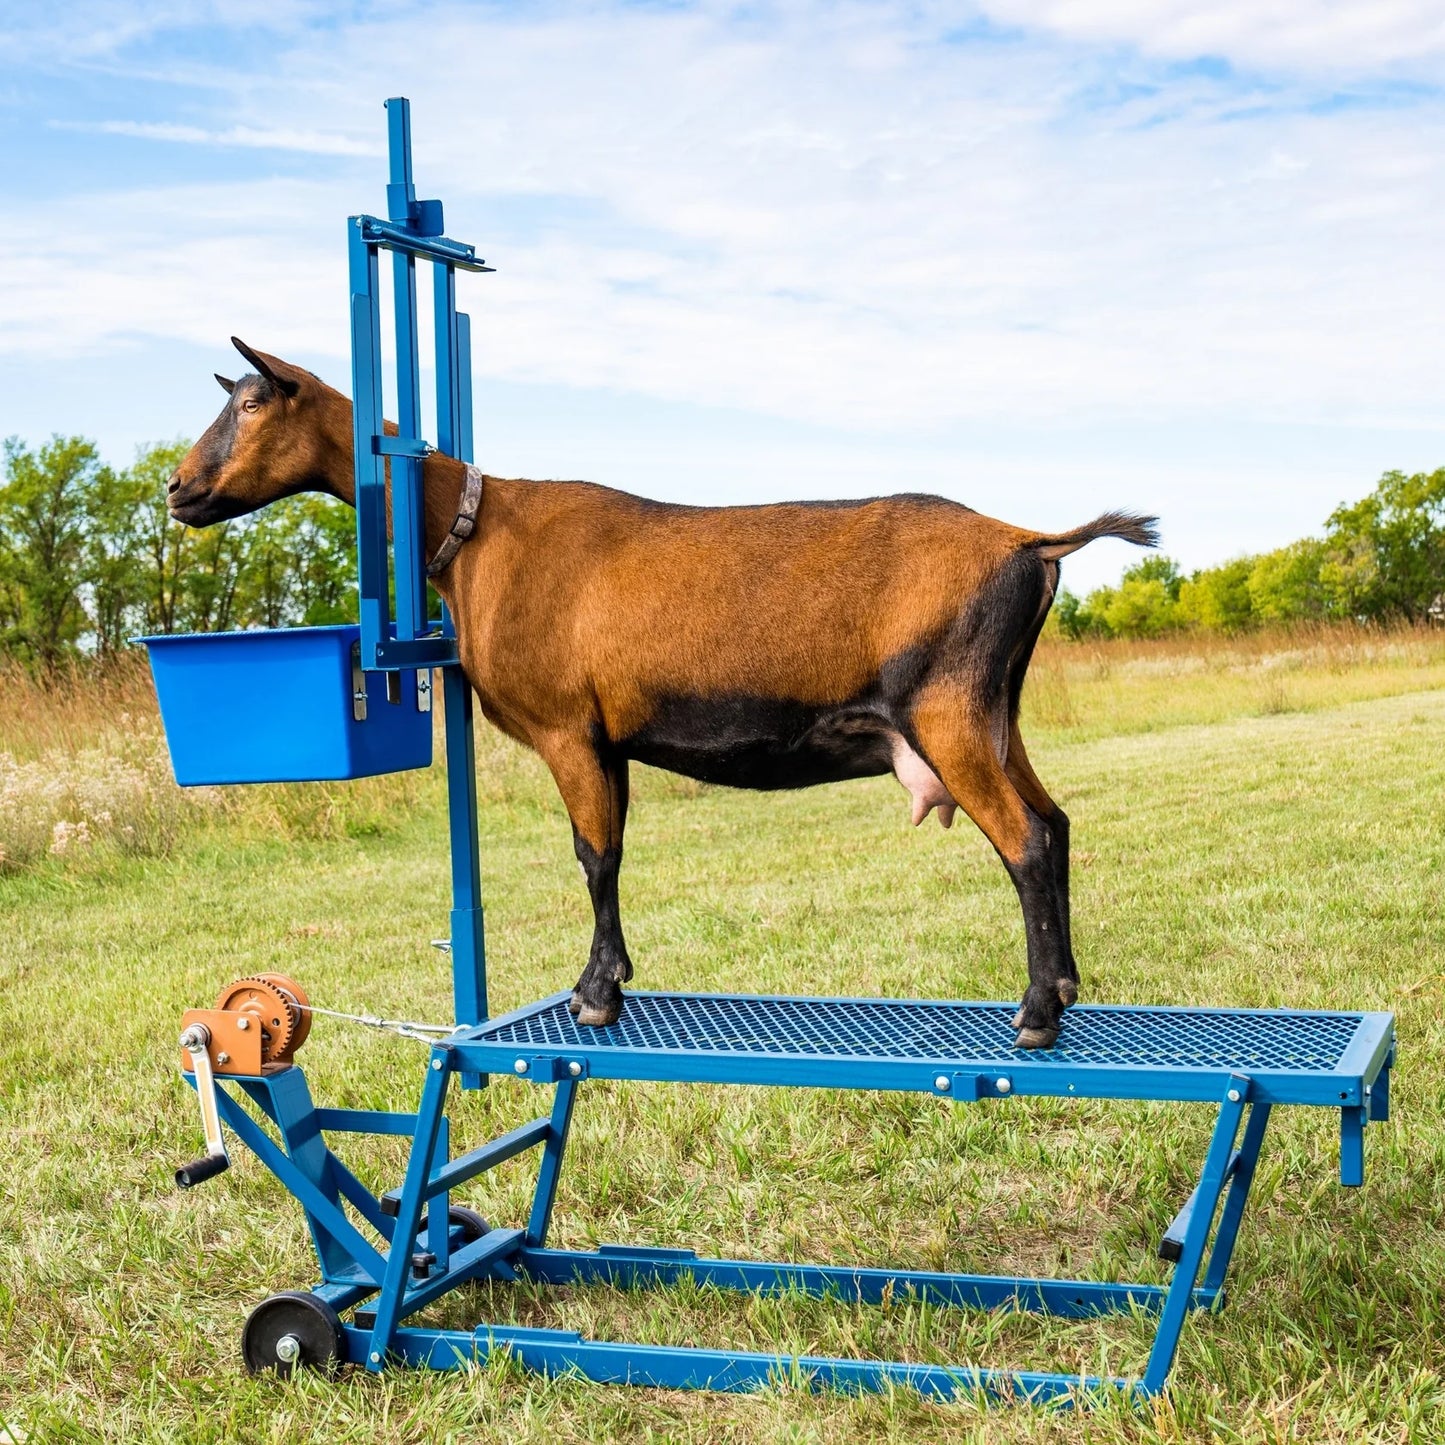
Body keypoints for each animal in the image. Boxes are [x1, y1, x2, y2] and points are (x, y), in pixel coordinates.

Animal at [167, 338, 1157, 1047]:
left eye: (250, 401)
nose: (177, 489)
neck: (474, 531)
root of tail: (1028, 541)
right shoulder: (608, 738)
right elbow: (607, 849)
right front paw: (607, 980)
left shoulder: (568, 728)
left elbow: (593, 855)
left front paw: (595, 993)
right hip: (994, 713)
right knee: (1056, 822)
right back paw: (1064, 987)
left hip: (945, 710)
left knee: (1024, 839)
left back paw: (1035, 1014)